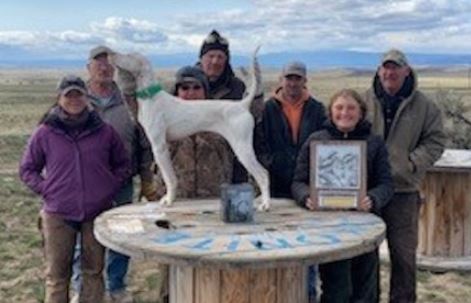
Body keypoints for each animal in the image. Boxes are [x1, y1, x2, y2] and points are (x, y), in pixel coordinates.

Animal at [109, 48, 272, 213]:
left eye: (129, 56)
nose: (109, 53)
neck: (152, 97)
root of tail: (242, 105)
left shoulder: (159, 146)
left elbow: (169, 178)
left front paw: (169, 200)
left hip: (242, 147)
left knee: (263, 174)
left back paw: (265, 204)